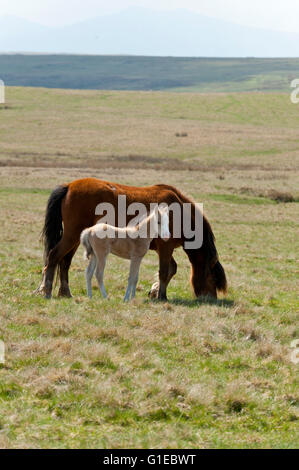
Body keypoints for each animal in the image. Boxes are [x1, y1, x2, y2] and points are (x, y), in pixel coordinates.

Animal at [37, 176, 229, 302]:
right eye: (212, 278)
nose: (211, 299)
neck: (180, 211)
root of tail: (69, 186)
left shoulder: (162, 248)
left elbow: (171, 269)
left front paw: (155, 291)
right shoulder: (165, 248)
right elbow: (165, 270)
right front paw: (161, 296)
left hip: (77, 239)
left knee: (65, 262)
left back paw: (65, 292)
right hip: (71, 235)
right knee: (54, 256)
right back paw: (46, 290)